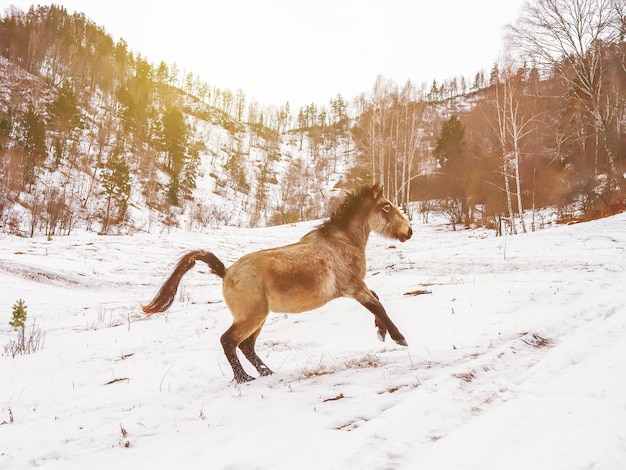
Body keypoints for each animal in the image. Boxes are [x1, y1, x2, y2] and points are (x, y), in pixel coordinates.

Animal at [143, 184, 412, 382]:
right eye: (386, 206)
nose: (408, 231)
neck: (341, 242)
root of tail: (226, 272)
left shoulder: (354, 288)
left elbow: (376, 299)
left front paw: (381, 332)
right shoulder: (354, 287)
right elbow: (377, 305)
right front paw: (399, 338)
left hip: (259, 317)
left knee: (246, 346)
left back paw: (267, 373)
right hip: (252, 316)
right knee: (229, 341)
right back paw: (244, 378)